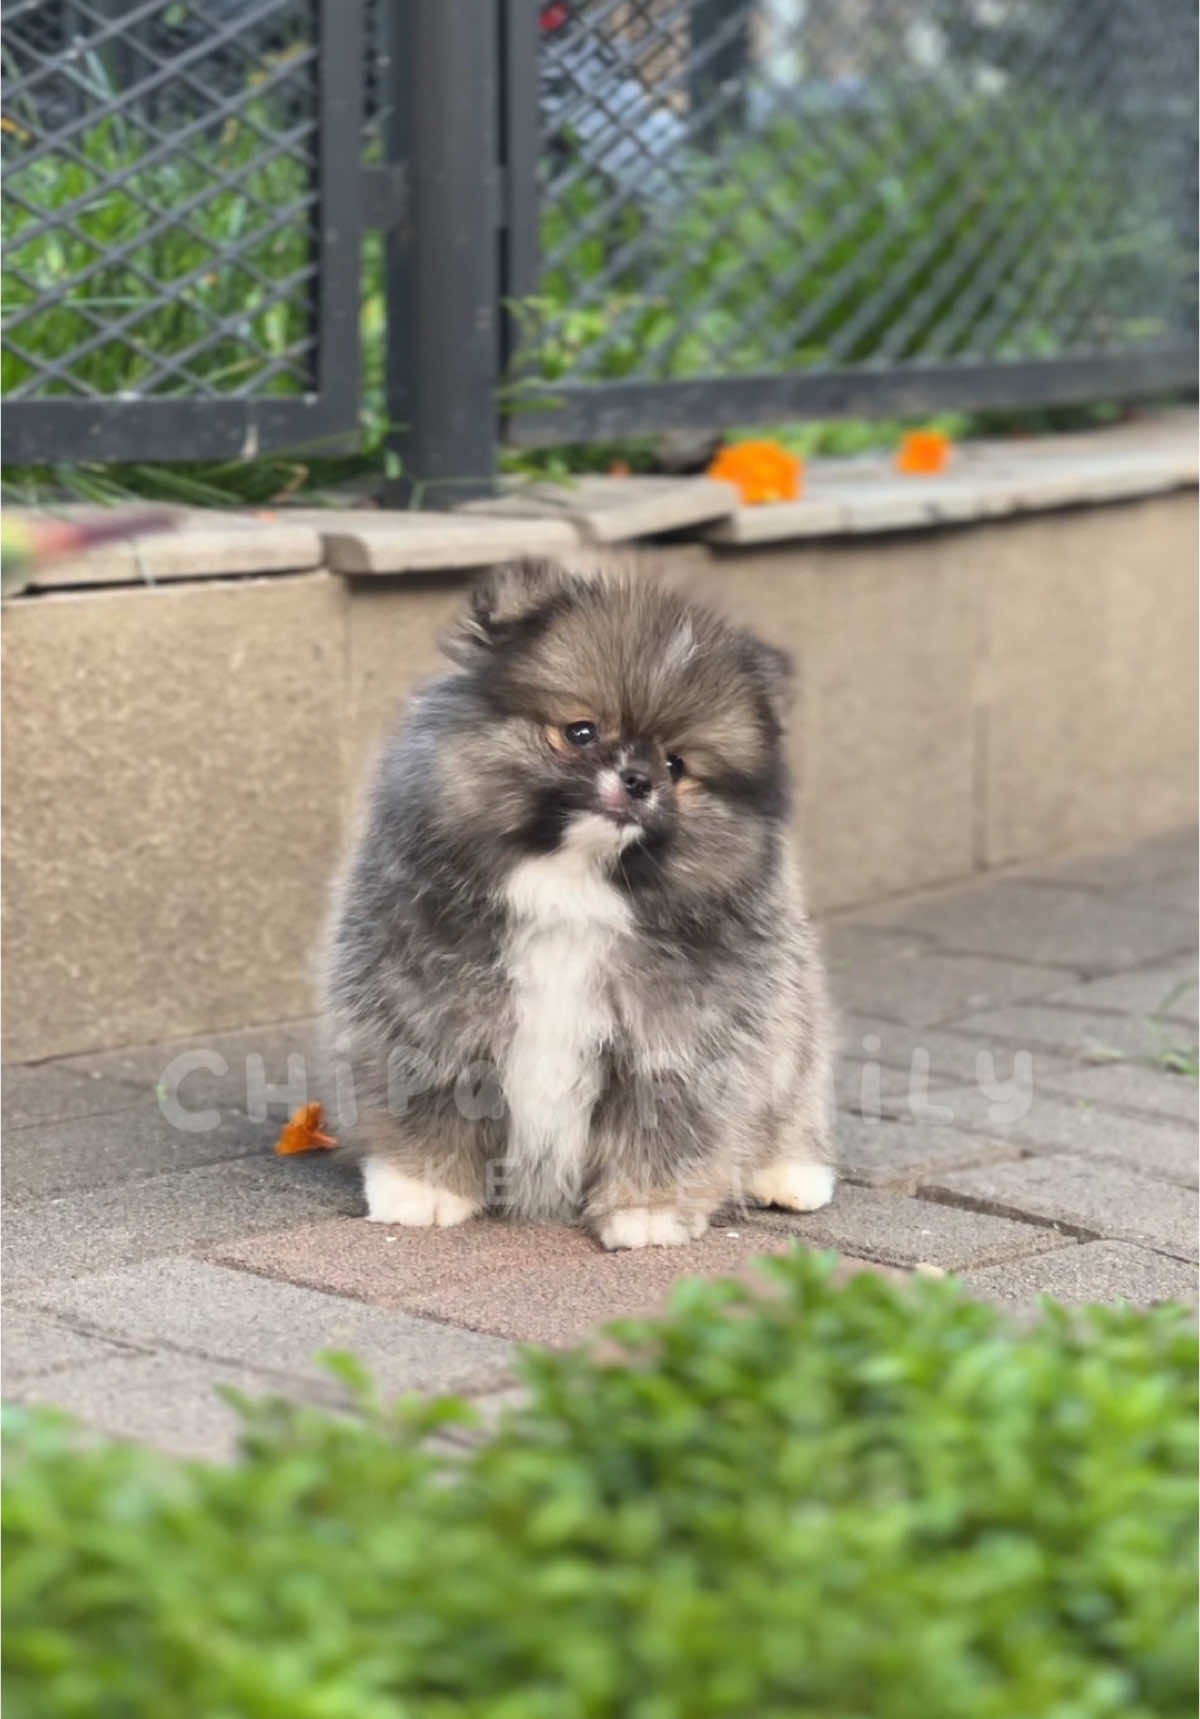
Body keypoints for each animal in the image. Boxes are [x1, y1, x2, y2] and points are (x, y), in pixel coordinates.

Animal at [323, 563, 835, 1251]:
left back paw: (788, 1172)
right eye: (580, 732)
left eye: (676, 765)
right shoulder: (429, 1019)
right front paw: (424, 1190)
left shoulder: (679, 1046)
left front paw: (647, 1212)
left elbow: (662, 1127)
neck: (573, 887)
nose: (639, 780)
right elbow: (432, 1104)